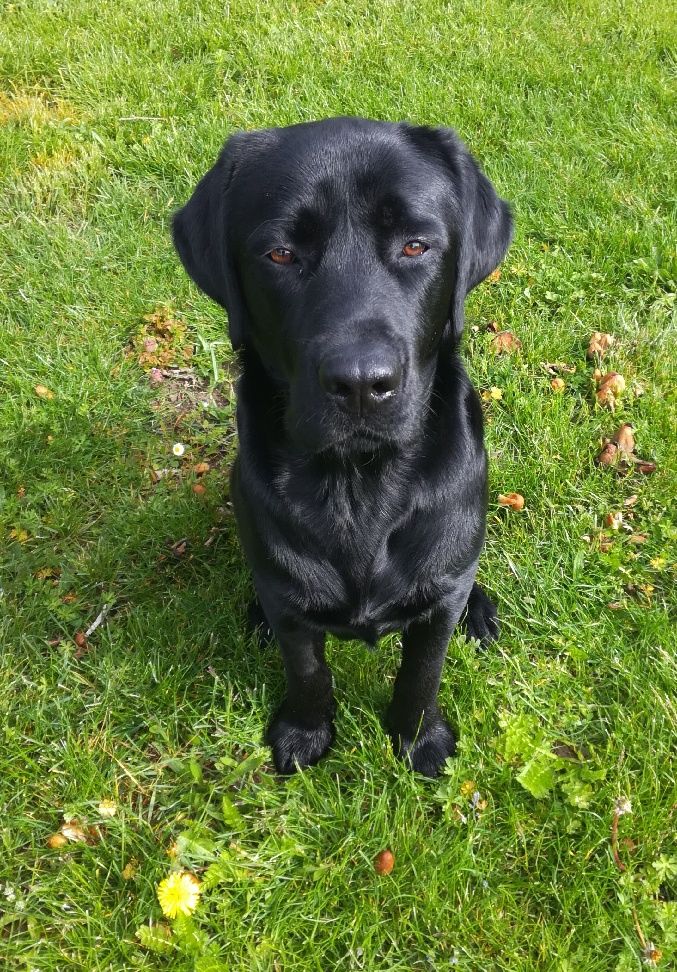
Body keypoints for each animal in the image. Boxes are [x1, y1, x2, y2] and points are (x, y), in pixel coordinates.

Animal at [172, 117, 510, 780]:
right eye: (280, 253)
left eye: (416, 246)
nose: (360, 383)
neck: (358, 484)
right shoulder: (288, 600)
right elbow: (306, 669)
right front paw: (304, 734)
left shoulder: (438, 601)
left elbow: (421, 672)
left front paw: (418, 741)